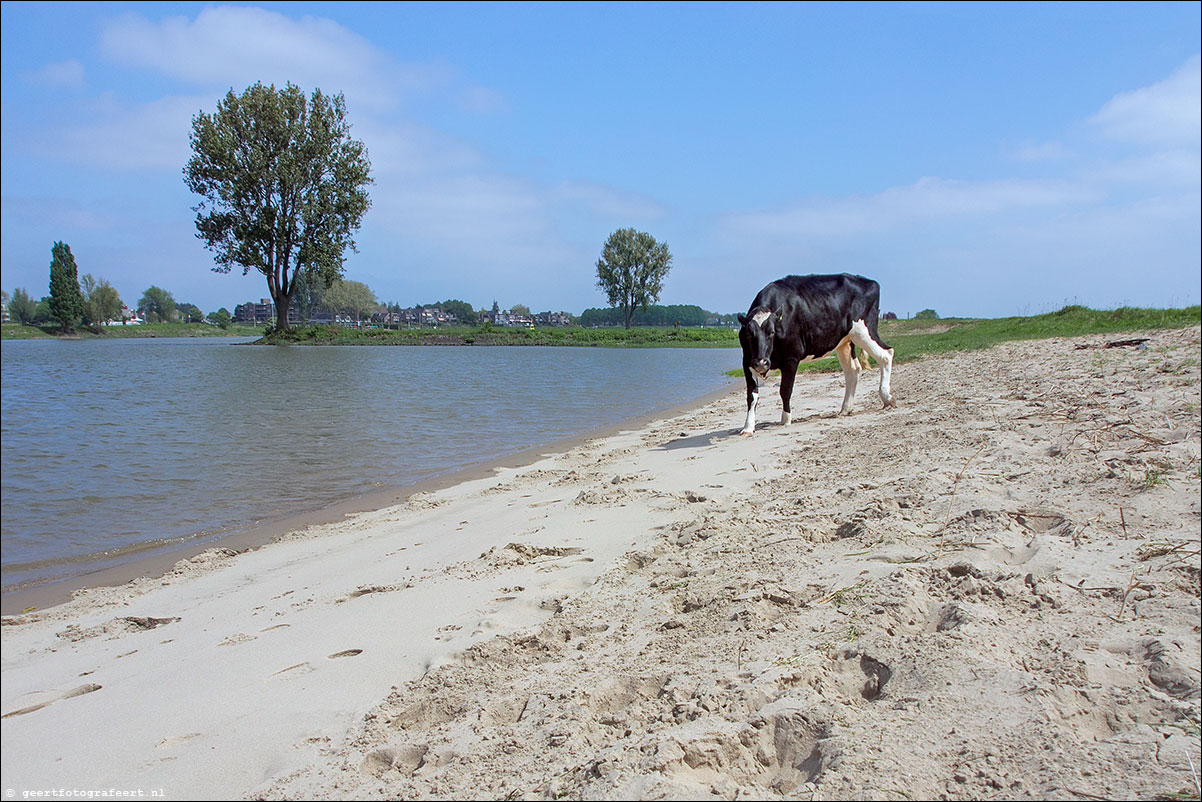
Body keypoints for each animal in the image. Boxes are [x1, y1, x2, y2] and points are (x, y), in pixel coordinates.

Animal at [735, 272, 899, 435]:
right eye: (748, 333)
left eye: (772, 332)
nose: (762, 363)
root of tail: (868, 281)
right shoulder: (747, 361)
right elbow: (751, 396)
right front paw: (748, 427)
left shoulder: (791, 358)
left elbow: (785, 390)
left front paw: (786, 419)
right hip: (844, 341)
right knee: (852, 371)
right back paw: (845, 409)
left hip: (864, 330)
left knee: (886, 354)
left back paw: (887, 398)